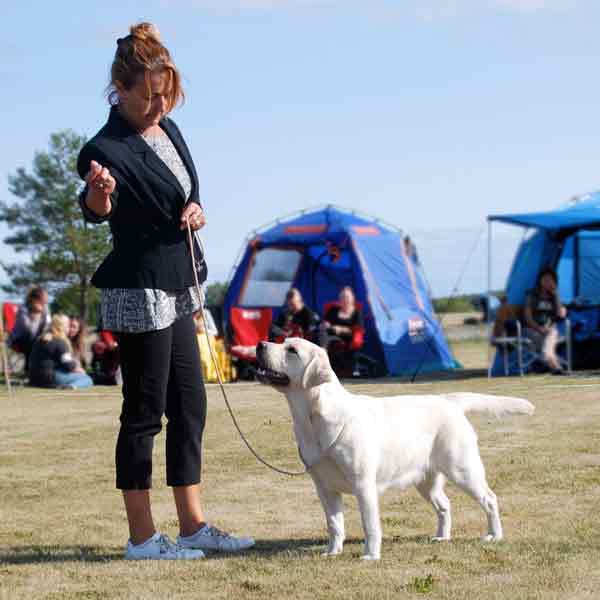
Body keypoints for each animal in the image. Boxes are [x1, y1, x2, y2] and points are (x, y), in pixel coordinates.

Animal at [255, 340, 536, 560]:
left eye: (291, 349)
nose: (260, 345)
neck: (312, 419)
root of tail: (449, 400)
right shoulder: (324, 487)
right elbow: (334, 524)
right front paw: (332, 552)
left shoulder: (363, 484)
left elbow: (370, 524)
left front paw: (370, 555)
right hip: (426, 480)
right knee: (445, 505)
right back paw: (441, 537)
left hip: (463, 469)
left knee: (489, 499)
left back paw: (494, 535)